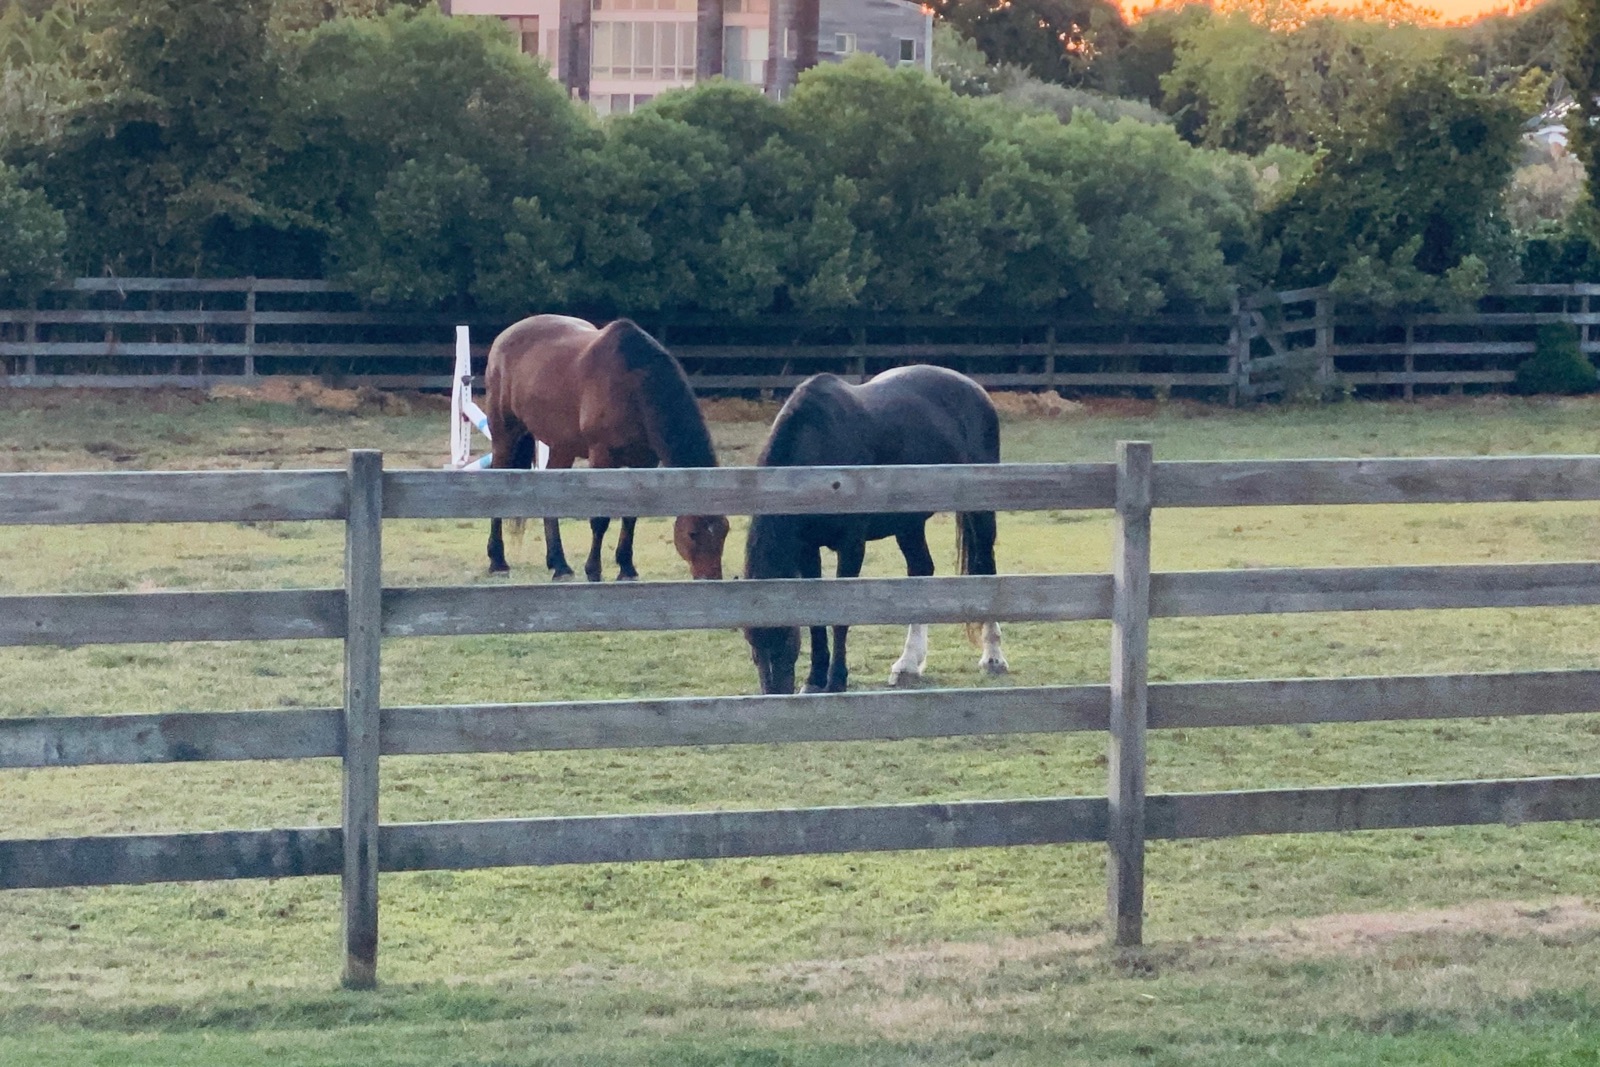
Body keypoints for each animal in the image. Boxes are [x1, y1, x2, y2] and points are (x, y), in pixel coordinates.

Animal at [483, 315, 729, 581]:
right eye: (693, 533)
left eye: (724, 531)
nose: (712, 578)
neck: (633, 384)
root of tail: (505, 335)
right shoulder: (602, 456)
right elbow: (600, 518)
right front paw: (594, 570)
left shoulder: (645, 461)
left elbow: (631, 516)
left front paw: (627, 568)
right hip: (505, 436)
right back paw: (498, 561)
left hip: (562, 446)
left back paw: (559, 564)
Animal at [742, 365, 1008, 695]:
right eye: (754, 650)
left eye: (785, 642)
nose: (775, 695)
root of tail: (973, 388)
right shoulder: (807, 549)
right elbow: (816, 618)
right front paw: (815, 679)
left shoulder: (851, 546)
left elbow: (840, 617)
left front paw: (836, 680)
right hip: (909, 524)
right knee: (921, 569)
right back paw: (908, 665)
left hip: (979, 513)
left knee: (986, 566)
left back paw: (993, 658)